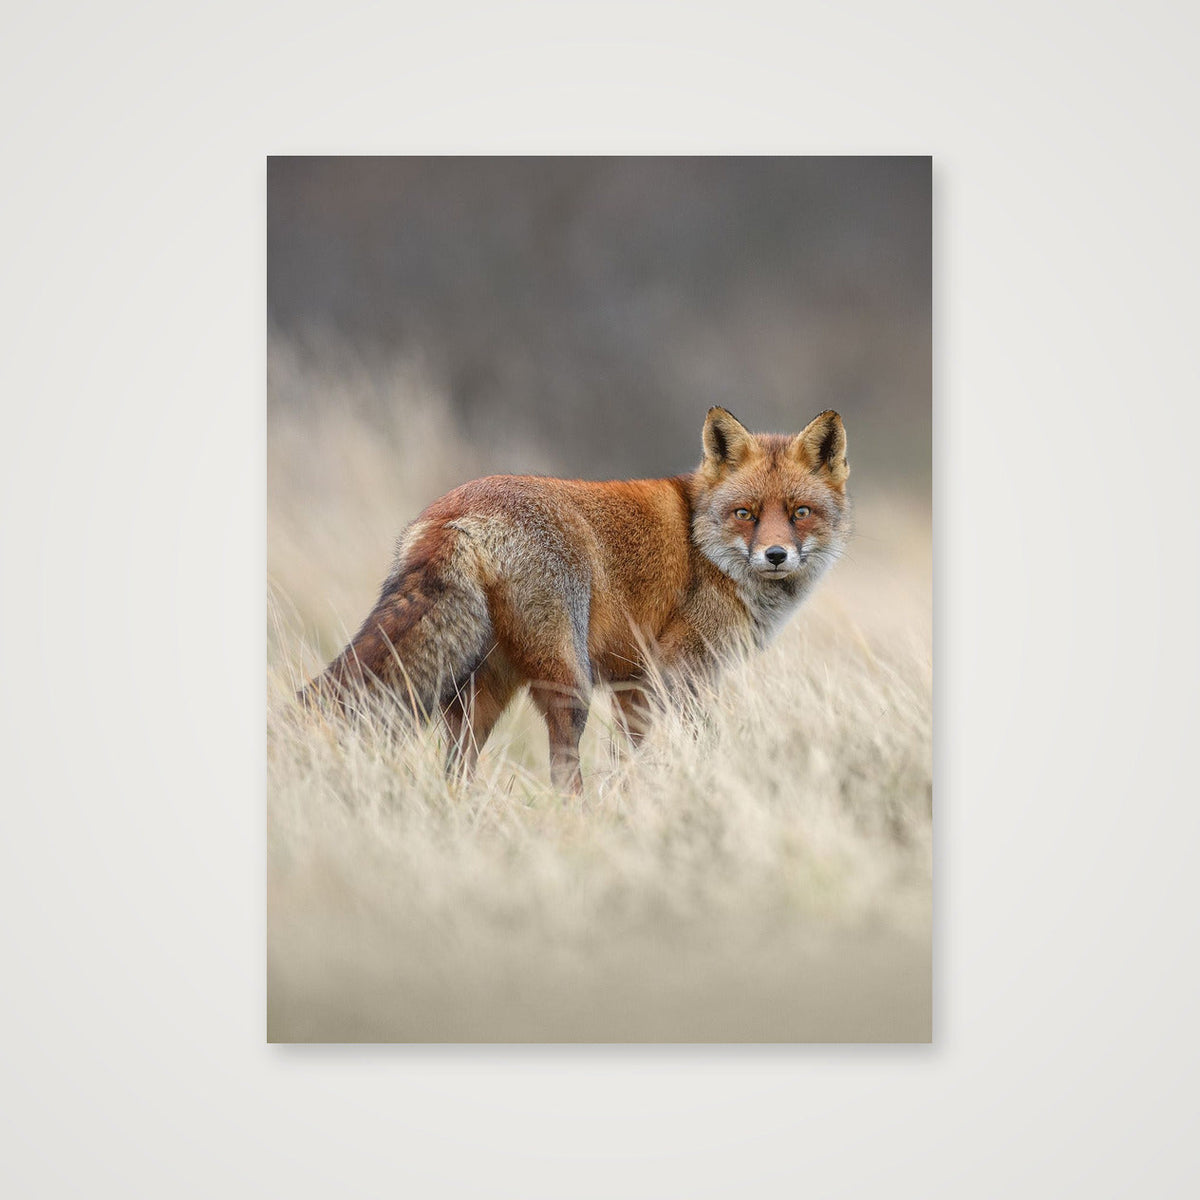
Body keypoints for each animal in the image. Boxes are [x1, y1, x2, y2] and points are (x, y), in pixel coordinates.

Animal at [302, 407, 851, 793]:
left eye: (800, 512)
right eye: (746, 514)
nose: (776, 555)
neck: (703, 544)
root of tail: (456, 512)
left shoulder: (636, 684)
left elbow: (629, 756)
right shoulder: (677, 671)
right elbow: (692, 742)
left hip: (484, 692)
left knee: (459, 761)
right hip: (570, 682)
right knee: (562, 769)